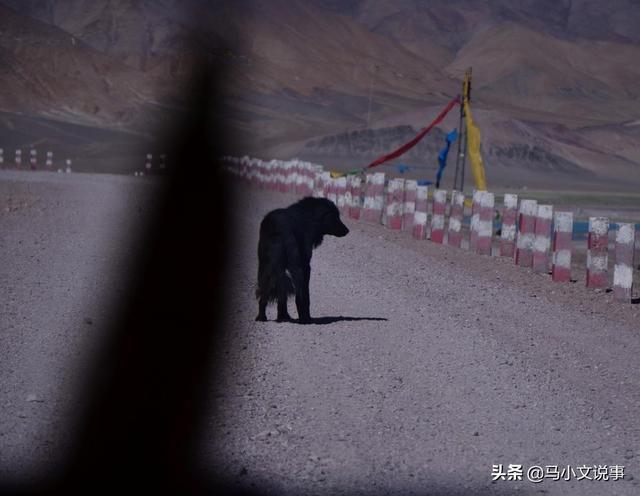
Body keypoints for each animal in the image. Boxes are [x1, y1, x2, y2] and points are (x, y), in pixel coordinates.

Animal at [254, 196, 348, 324]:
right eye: (335, 216)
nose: (347, 230)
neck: (307, 218)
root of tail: (279, 228)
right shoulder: (305, 265)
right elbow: (305, 295)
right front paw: (305, 317)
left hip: (265, 267)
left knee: (266, 291)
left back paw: (266, 317)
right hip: (295, 267)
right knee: (299, 294)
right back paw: (304, 319)